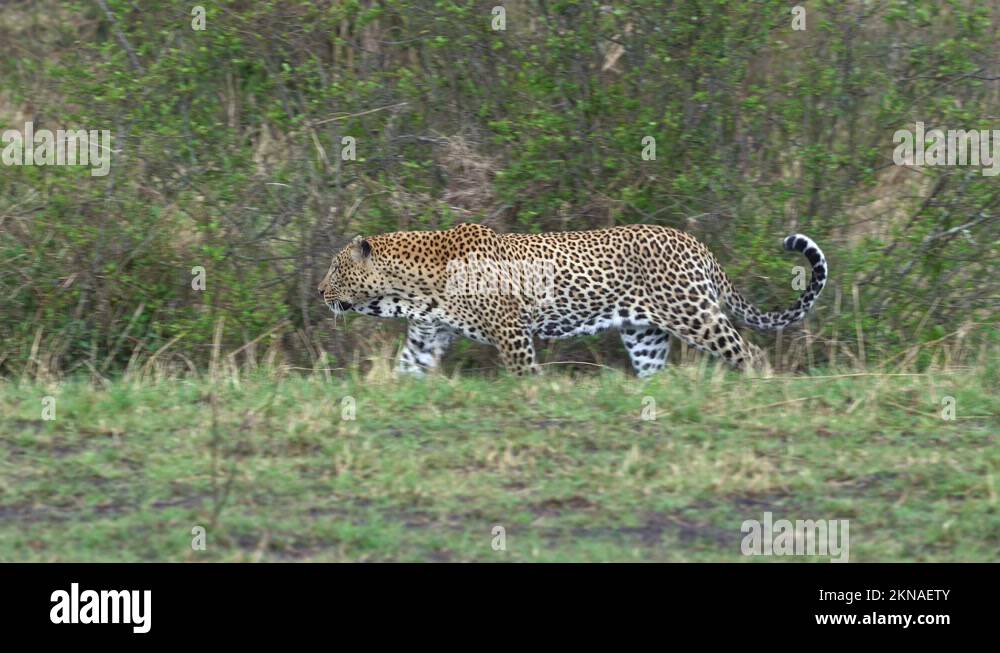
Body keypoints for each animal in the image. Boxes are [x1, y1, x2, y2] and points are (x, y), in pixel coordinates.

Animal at [318, 223, 828, 377]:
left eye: (336, 269)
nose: (320, 292)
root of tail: (698, 245)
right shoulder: (427, 336)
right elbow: (406, 370)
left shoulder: (511, 331)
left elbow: (524, 374)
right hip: (644, 333)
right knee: (655, 372)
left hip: (693, 314)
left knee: (751, 353)